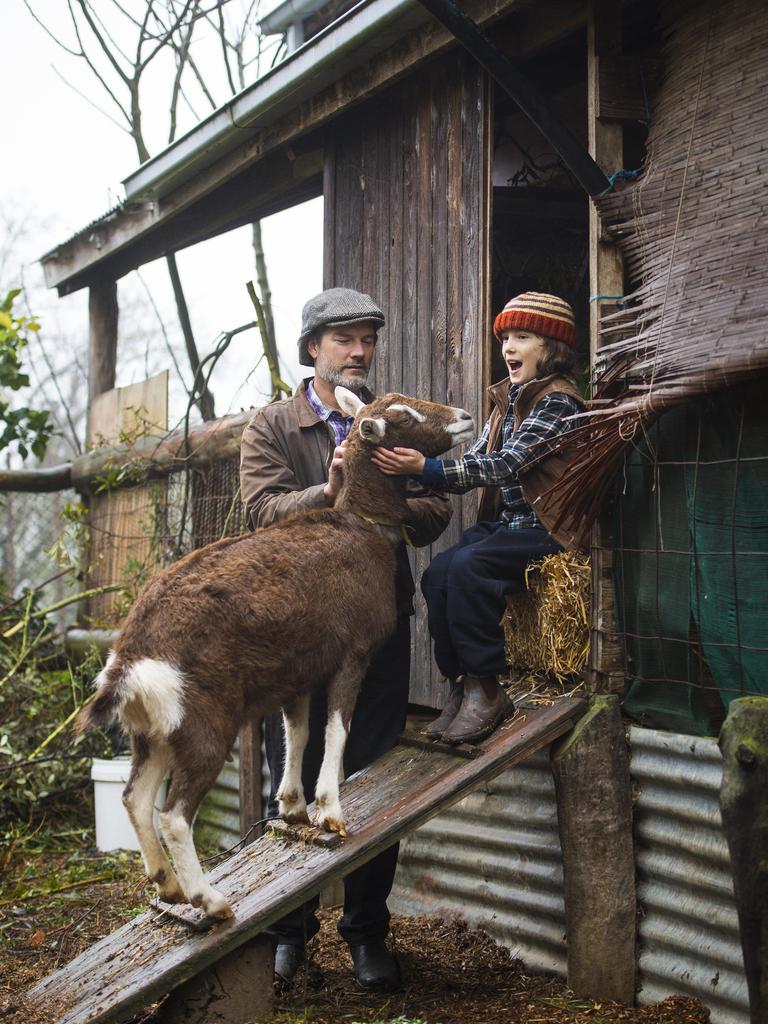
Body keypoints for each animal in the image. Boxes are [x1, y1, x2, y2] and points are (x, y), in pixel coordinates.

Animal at [78, 385, 475, 921]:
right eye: (405, 416)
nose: (465, 416)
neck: (364, 528)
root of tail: (129, 661)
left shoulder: (299, 668)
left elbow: (298, 731)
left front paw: (291, 805)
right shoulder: (352, 650)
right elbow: (336, 728)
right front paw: (330, 811)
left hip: (154, 730)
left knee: (135, 798)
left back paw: (168, 886)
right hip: (205, 722)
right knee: (174, 814)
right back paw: (212, 901)